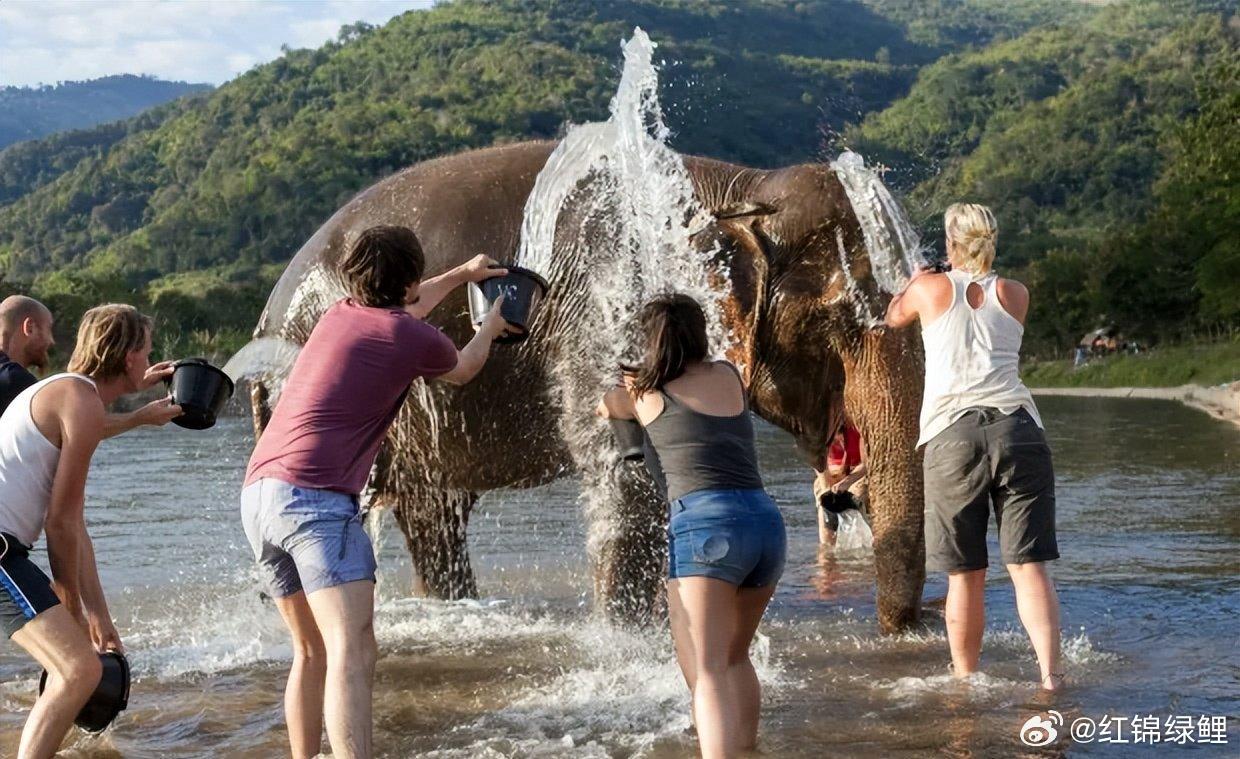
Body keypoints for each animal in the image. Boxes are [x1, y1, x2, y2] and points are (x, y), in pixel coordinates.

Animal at [251, 137, 927, 634]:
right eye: (837, 320)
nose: (898, 631)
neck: (738, 187)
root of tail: (265, 314)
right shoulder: (613, 300)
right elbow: (626, 468)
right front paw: (629, 637)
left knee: (433, 514)